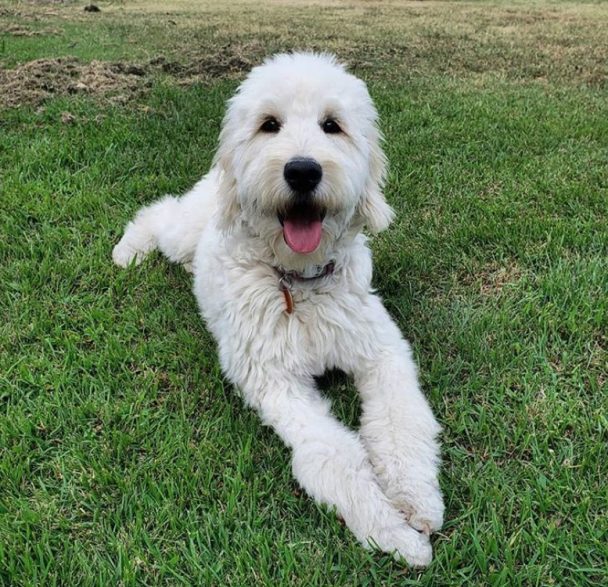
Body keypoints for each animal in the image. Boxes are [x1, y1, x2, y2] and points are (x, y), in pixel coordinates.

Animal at [114, 52, 444, 568]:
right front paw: (388, 529)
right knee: (158, 213)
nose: (303, 171)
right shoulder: (275, 380)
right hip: (184, 226)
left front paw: (416, 499)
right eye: (270, 124)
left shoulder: (382, 350)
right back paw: (128, 250)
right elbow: (331, 454)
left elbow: (402, 420)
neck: (298, 284)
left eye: (332, 125)